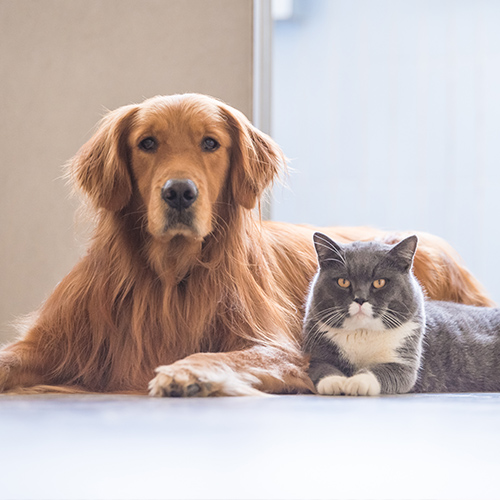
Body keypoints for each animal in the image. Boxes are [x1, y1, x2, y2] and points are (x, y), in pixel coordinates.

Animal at [302, 232, 500, 396]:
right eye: (343, 281)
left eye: (380, 282)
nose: (360, 299)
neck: (363, 333)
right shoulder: (319, 353)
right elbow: (322, 368)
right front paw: (335, 382)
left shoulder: (404, 360)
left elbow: (382, 371)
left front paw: (357, 382)